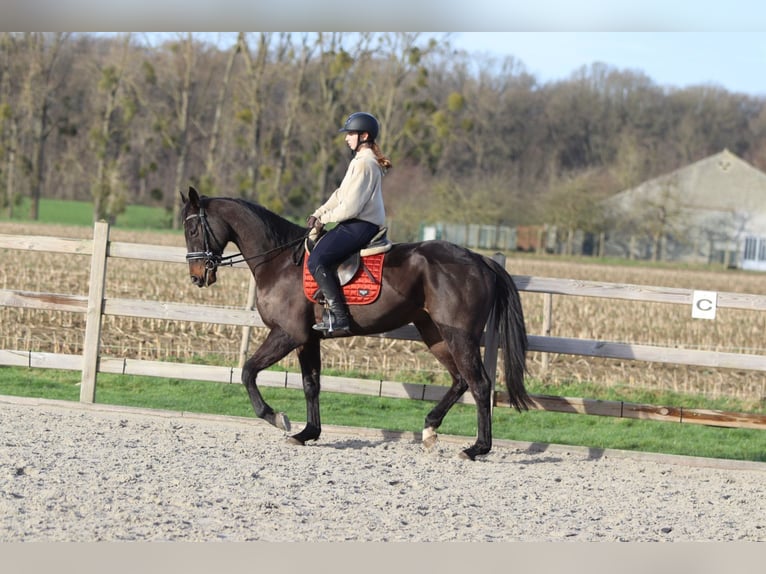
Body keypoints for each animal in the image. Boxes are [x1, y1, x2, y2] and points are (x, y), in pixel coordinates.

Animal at [180, 186, 530, 460]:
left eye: (193, 230)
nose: (197, 277)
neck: (278, 263)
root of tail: (479, 260)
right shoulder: (308, 339)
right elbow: (311, 384)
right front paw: (308, 432)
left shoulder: (288, 334)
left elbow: (248, 371)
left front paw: (277, 418)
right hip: (435, 333)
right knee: (460, 380)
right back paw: (430, 430)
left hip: (459, 335)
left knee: (479, 383)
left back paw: (477, 448)